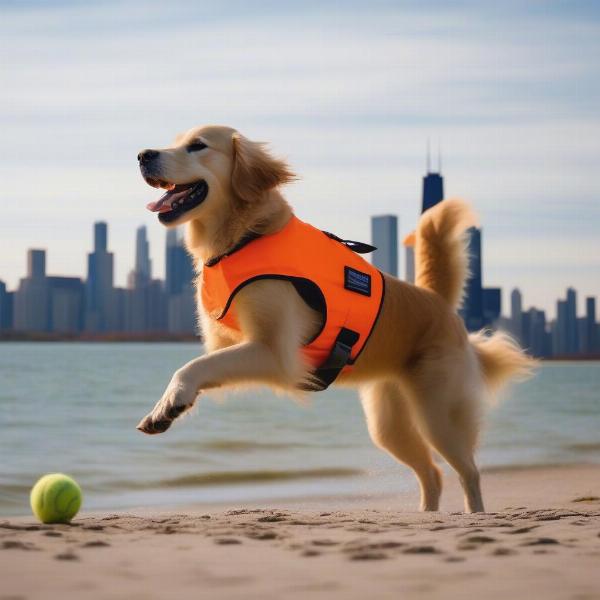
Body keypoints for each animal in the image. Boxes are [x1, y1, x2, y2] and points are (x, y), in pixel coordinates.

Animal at [136, 125, 536, 510]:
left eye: (198, 145)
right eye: (174, 142)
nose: (142, 154)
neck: (246, 236)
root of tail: (437, 301)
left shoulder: (275, 353)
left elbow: (191, 367)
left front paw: (171, 401)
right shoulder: (236, 347)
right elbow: (206, 364)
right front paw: (166, 408)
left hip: (438, 413)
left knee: (469, 472)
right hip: (387, 423)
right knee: (432, 474)